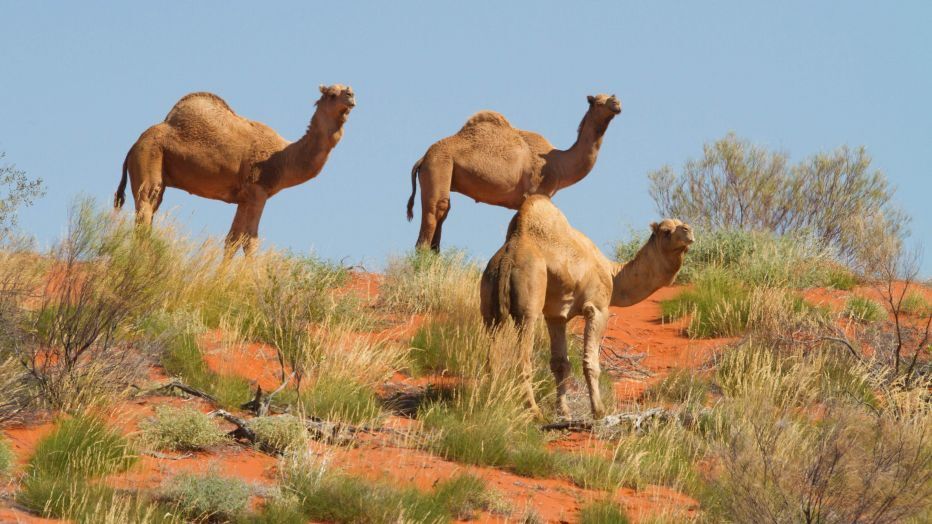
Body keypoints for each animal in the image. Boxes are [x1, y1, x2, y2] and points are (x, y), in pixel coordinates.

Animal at [114, 85, 355, 256]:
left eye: (347, 88)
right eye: (332, 94)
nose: (351, 95)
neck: (282, 157)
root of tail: (133, 146)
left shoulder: (243, 197)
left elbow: (232, 240)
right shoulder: (258, 191)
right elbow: (250, 241)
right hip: (148, 159)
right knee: (145, 210)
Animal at [406, 94, 622, 250]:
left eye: (612, 96)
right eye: (598, 101)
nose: (616, 103)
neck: (557, 162)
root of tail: (422, 158)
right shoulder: (536, 192)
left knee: (442, 215)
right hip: (438, 166)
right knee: (434, 214)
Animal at [480, 195, 693, 420]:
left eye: (680, 224)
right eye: (666, 231)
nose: (688, 230)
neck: (612, 274)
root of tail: (508, 256)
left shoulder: (556, 315)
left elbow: (560, 364)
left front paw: (564, 411)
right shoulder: (597, 308)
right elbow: (591, 363)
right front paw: (598, 410)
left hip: (489, 295)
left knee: (491, 353)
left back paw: (491, 402)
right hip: (529, 295)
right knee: (523, 356)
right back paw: (534, 411)